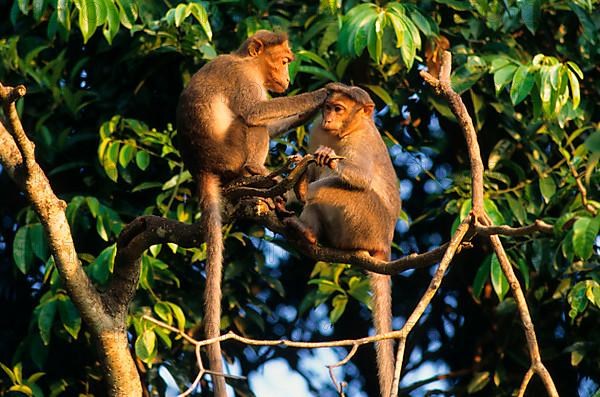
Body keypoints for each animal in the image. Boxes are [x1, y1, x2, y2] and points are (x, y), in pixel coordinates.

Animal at [176, 31, 326, 396]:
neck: (245, 62)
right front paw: (324, 93)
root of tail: (201, 166)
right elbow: (257, 113)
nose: (287, 79)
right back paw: (255, 171)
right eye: (284, 61)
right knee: (252, 123)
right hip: (229, 153)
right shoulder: (243, 80)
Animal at [288, 83, 400, 396]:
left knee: (334, 187)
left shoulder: (361, 142)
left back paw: (305, 192)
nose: (328, 118)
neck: (345, 132)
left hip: (368, 222)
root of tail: (384, 243)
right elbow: (313, 164)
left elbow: (359, 178)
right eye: (328, 107)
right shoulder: (317, 131)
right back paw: (306, 228)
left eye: (338, 109)